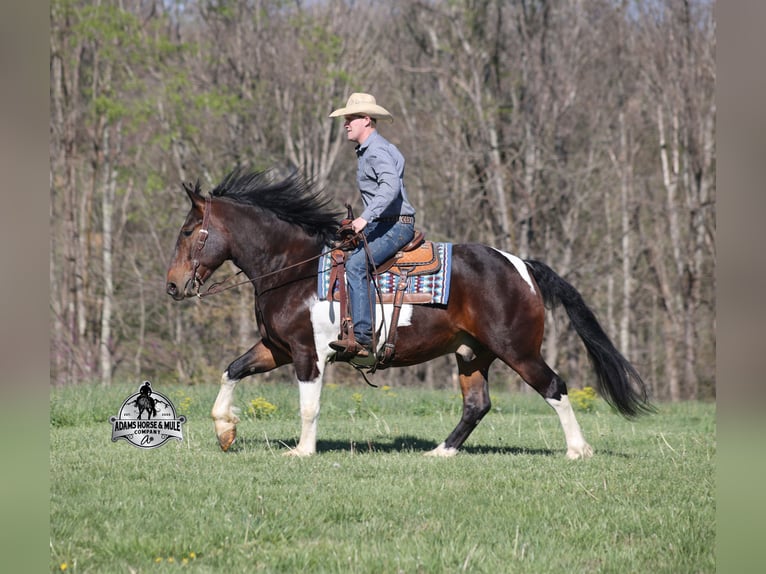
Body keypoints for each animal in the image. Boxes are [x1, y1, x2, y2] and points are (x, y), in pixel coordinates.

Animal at [165, 169, 652, 458]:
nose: (172, 285)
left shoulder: (307, 354)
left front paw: (302, 452)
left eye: (188, 231)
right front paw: (225, 430)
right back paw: (441, 452)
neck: (295, 269)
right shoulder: (276, 348)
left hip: (517, 350)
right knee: (477, 404)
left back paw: (577, 450)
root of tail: (523, 266)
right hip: (471, 354)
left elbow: (308, 406)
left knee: (555, 387)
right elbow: (232, 370)